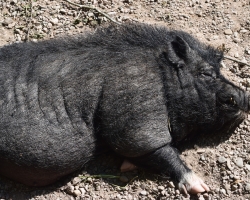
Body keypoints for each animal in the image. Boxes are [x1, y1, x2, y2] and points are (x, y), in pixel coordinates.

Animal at [0, 23, 248, 194]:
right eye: (206, 73)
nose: (244, 95)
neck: (163, 75)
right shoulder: (135, 102)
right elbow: (151, 147)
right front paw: (203, 189)